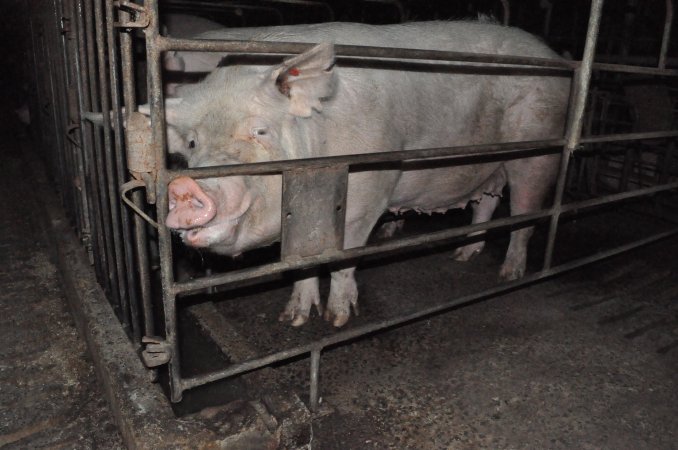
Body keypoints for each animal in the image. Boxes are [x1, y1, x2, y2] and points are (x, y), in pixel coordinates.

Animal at [157, 22, 572, 326]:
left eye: (261, 131)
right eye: (193, 142)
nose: (184, 187)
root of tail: (554, 57)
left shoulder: (367, 193)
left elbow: (344, 259)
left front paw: (338, 319)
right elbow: (303, 263)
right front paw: (294, 320)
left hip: (539, 150)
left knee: (524, 214)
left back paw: (509, 275)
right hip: (489, 165)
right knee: (487, 202)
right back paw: (462, 255)